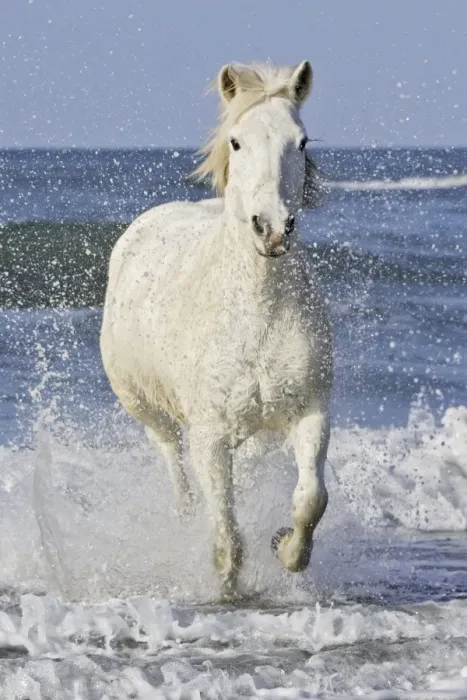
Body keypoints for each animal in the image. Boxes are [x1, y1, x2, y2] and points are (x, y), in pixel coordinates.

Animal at [100, 60, 333, 599]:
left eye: (301, 141)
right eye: (237, 142)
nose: (272, 228)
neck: (257, 314)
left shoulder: (311, 412)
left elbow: (311, 499)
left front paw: (286, 550)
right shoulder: (209, 433)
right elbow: (227, 534)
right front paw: (227, 590)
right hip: (147, 408)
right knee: (172, 459)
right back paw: (183, 516)